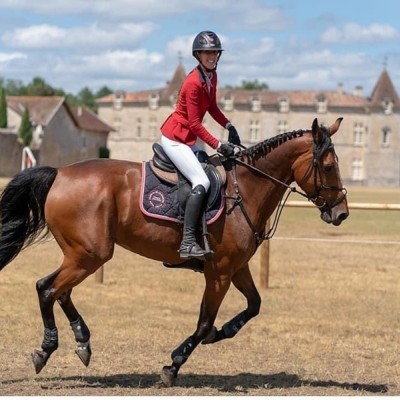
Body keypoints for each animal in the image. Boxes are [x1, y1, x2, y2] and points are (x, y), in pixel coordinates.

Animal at [0, 116, 346, 388]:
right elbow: (204, 322)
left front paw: (222, 332)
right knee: (47, 289)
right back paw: (46, 349)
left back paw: (82, 341)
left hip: (82, 255)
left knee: (59, 291)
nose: (341, 213)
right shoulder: (219, 272)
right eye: (329, 167)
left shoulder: (236, 268)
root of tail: (59, 174)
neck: (245, 190)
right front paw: (174, 364)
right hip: (90, 254)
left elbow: (254, 305)